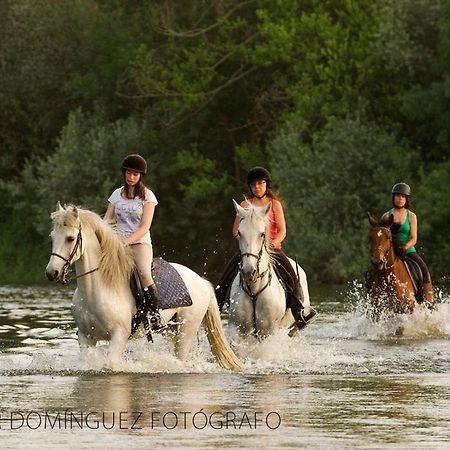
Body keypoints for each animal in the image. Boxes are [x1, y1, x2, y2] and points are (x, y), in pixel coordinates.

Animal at [44, 202, 244, 370]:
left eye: (70, 238)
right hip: (170, 330)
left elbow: (109, 365)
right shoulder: (85, 338)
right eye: (52, 238)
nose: (52, 273)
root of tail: (200, 281)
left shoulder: (119, 336)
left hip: (186, 330)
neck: (99, 289)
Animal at [229, 200, 310, 338]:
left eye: (262, 234)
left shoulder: (270, 331)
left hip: (293, 329)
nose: (248, 271)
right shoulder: (237, 329)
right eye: (239, 233)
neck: (254, 289)